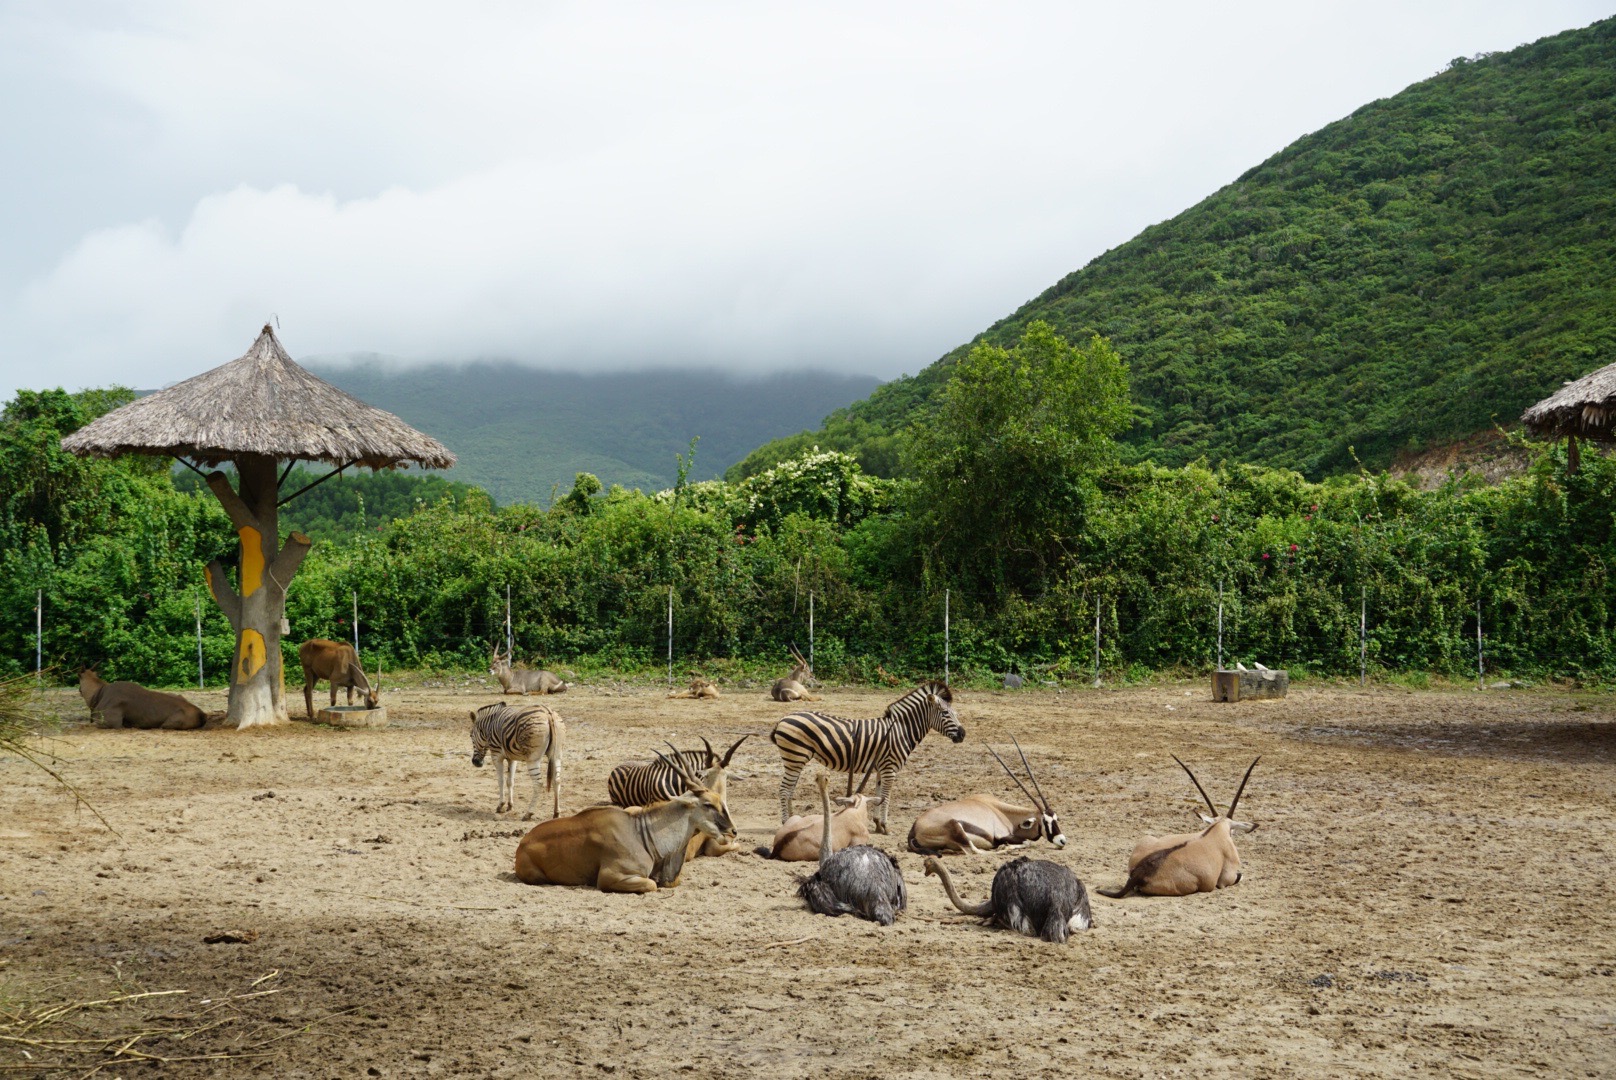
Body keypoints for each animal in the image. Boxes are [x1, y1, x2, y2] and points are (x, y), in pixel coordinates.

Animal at [513, 750, 736, 892]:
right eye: (708, 804)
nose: (732, 831)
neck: (642, 834)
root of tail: (522, 844)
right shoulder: (611, 877)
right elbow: (651, 885)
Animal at [765, 682, 956, 834]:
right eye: (945, 713)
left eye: (954, 713)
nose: (961, 735)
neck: (900, 730)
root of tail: (783, 719)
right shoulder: (889, 767)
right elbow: (886, 796)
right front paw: (885, 826)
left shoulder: (881, 768)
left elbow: (879, 795)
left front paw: (878, 824)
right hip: (795, 758)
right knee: (784, 790)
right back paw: (786, 822)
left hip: (795, 760)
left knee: (789, 790)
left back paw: (793, 821)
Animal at [904, 737, 1066, 853]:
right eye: (1045, 821)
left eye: (1056, 818)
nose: (1062, 841)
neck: (1002, 811)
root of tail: (914, 829)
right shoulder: (1002, 835)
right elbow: (1027, 842)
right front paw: (1005, 846)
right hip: (955, 826)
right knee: (974, 851)